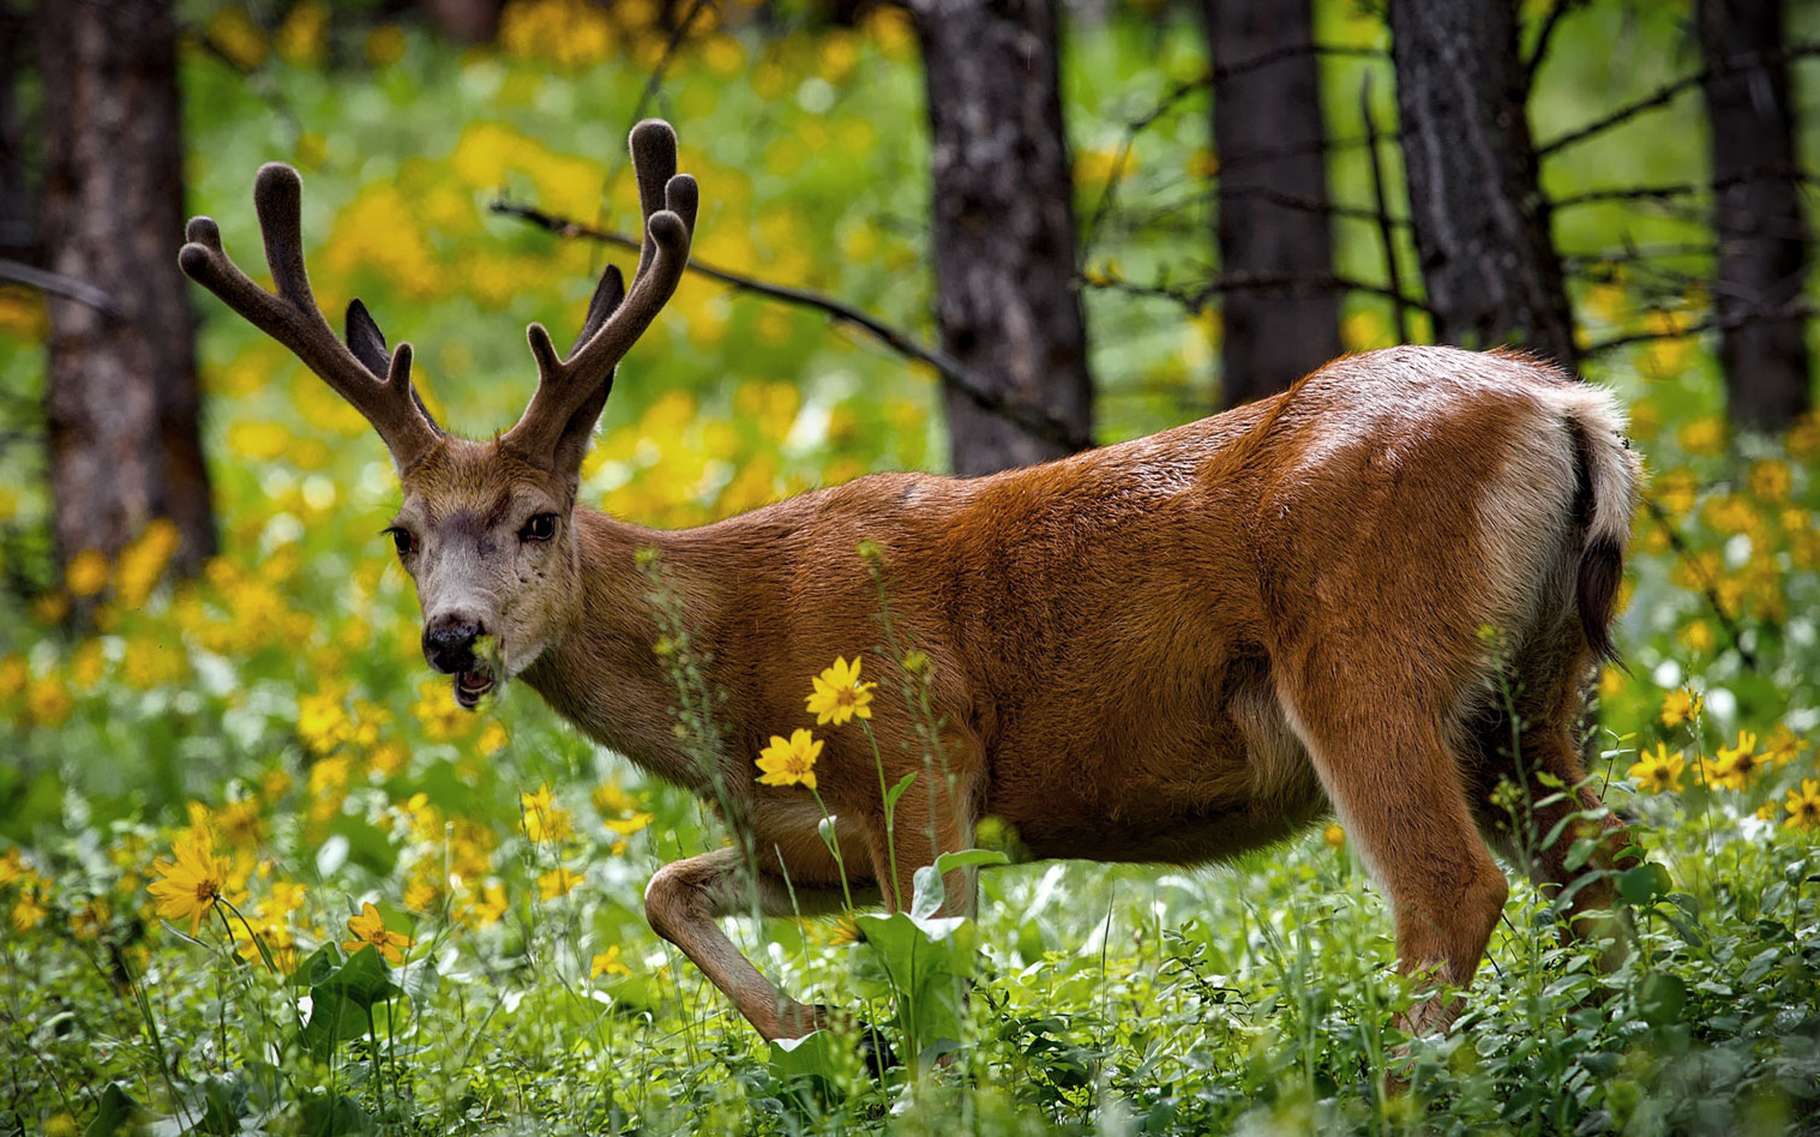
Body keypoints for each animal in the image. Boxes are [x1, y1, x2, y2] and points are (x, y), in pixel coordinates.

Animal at [181, 117, 1652, 1047]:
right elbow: (663, 889)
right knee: (1604, 868)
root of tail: (1569, 407)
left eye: (539, 519)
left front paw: (903, 1059)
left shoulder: (922, 764)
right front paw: (819, 1030)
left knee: (1451, 891)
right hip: (1532, 686)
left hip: (1364, 656)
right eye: (401, 532)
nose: (454, 638)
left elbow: (941, 995)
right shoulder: (809, 837)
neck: (731, 661)